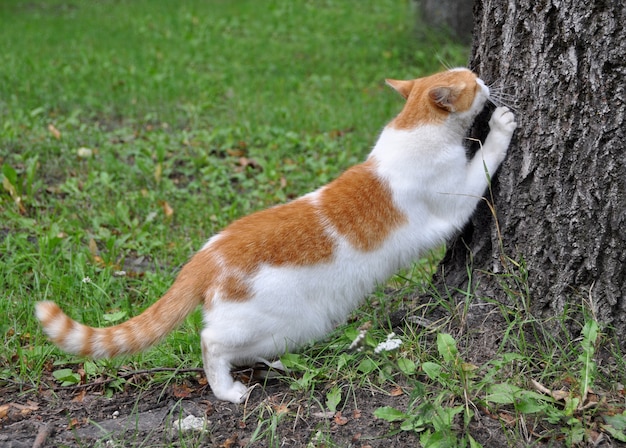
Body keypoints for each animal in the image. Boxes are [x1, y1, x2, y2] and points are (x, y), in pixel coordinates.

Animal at [34, 68, 516, 404]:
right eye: (472, 81)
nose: (486, 77)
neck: (415, 125)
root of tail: (207, 255)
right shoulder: (456, 197)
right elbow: (486, 159)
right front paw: (503, 124)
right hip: (278, 320)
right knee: (210, 342)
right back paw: (228, 390)